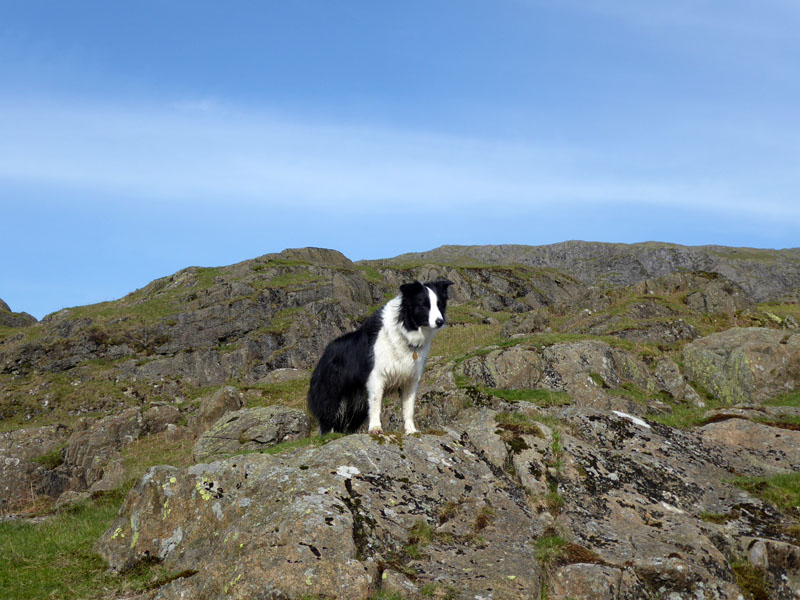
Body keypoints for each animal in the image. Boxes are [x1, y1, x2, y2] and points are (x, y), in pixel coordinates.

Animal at [308, 278, 454, 434]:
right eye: (424, 305)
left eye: (440, 305)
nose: (440, 322)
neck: (405, 332)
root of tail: (325, 353)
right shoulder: (376, 377)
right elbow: (376, 404)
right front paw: (375, 428)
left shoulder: (410, 379)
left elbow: (409, 408)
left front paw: (411, 430)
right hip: (332, 394)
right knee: (328, 419)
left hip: (357, 404)